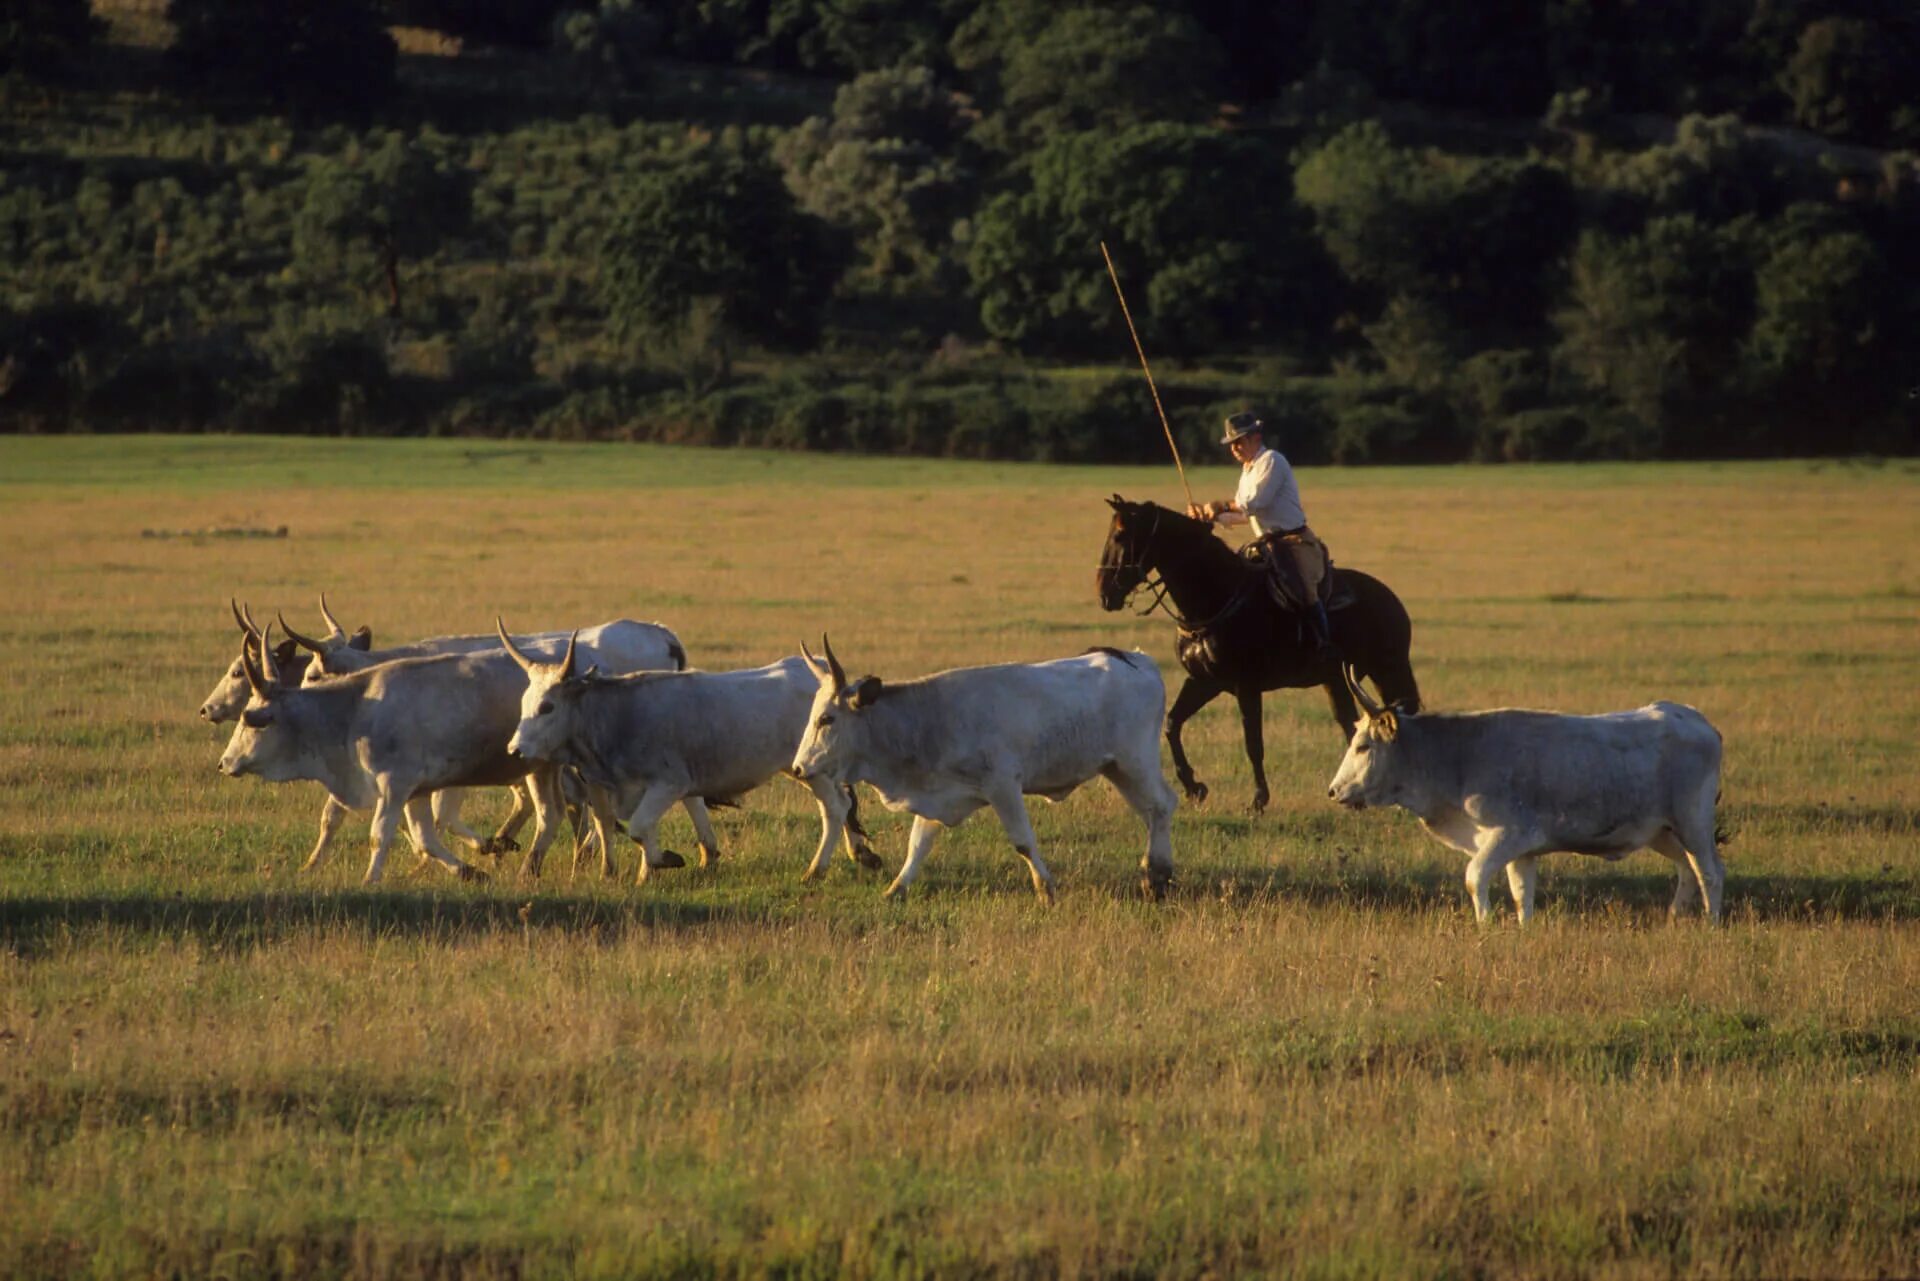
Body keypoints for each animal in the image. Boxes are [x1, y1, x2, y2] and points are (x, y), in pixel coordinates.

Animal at [787, 637, 1175, 902]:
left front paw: (1045, 889)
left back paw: (1157, 875)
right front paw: (896, 888)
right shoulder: (936, 793)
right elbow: (918, 845)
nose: (799, 767)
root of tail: (1137, 659)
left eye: (827, 719)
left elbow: (1023, 842)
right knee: (1151, 813)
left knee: (1162, 805)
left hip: (1134, 762)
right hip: (1118, 769)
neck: (930, 718)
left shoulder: (1003, 787)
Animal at [1090, 495, 1420, 810]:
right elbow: (1172, 724)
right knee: (1349, 722)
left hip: (1389, 668)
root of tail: (1390, 597)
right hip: (1337, 680)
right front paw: (1194, 788)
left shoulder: (1246, 686)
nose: (1105, 594)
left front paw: (1259, 798)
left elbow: (1253, 742)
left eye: (1120, 535)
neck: (1217, 597)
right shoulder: (1204, 682)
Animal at [1320, 668, 1728, 925]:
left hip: (1692, 823)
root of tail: (1696, 719)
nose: (1333, 791)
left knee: (1709, 872)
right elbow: (1522, 894)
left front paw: (1485, 924)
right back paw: (1675, 917)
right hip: (1661, 831)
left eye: (1363, 746)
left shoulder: (1508, 835)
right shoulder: (1522, 851)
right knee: (1688, 869)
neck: (1455, 756)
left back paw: (1711, 923)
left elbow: (1474, 876)